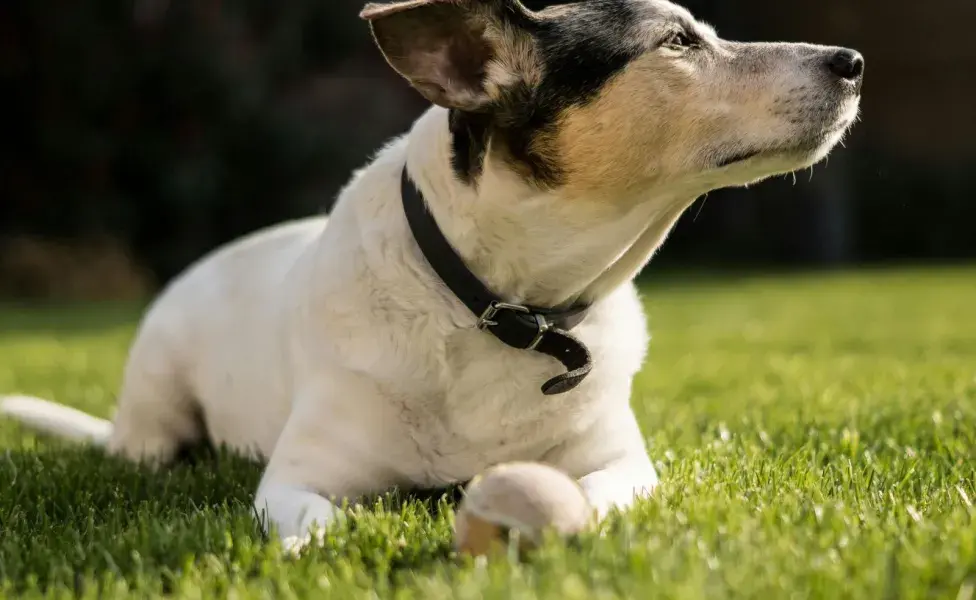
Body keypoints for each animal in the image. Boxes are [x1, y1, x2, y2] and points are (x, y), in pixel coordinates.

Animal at [1, 0, 860, 552]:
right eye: (679, 41)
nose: (852, 60)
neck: (508, 309)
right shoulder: (295, 481)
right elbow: (313, 527)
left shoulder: (625, 466)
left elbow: (591, 494)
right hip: (154, 409)